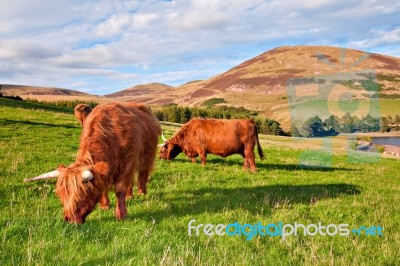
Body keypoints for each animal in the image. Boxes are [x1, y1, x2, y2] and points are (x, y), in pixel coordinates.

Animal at [25, 103, 161, 223]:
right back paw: (130, 195)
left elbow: (120, 190)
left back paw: (142, 193)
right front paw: (105, 206)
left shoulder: (128, 163)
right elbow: (104, 187)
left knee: (142, 174)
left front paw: (121, 215)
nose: (69, 220)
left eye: (82, 194)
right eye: (61, 195)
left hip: (147, 156)